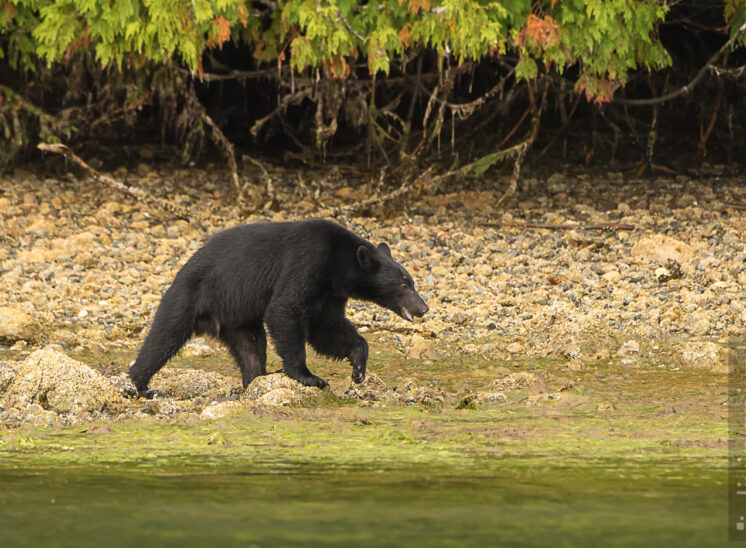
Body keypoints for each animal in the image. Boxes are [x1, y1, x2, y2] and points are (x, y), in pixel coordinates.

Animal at [129, 219, 424, 398]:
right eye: (405, 283)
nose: (424, 308)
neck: (337, 264)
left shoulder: (330, 293)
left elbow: (326, 327)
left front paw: (358, 367)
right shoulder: (305, 262)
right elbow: (285, 310)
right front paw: (309, 377)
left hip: (238, 320)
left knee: (251, 349)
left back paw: (255, 379)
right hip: (187, 297)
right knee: (163, 338)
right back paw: (140, 384)